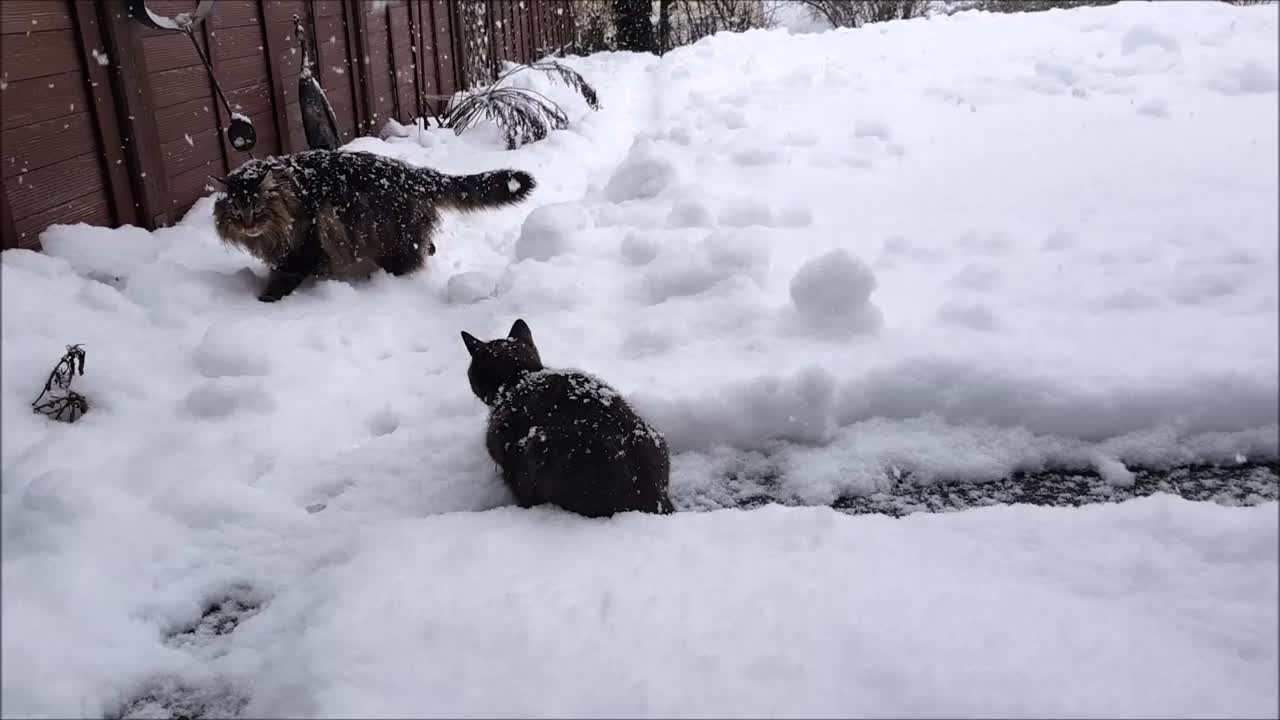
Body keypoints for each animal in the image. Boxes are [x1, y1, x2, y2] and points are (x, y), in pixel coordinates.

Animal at [212, 148, 532, 299]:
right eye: (236, 213)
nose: (247, 226)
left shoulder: (305, 244)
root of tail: (414, 173)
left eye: (258, 210)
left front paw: (265, 299)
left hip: (391, 236)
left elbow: (283, 277)